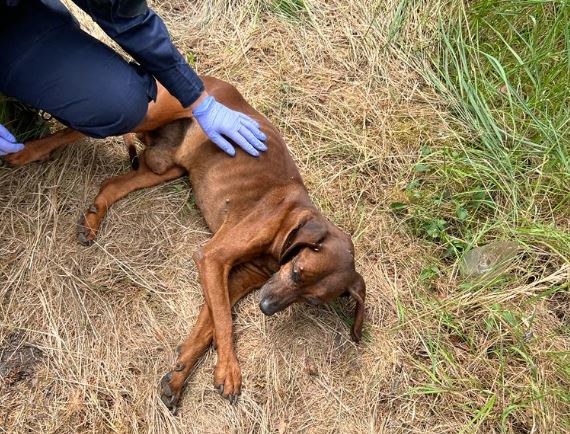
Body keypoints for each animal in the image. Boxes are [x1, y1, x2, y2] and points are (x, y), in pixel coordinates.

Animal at [5, 76, 364, 412]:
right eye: (299, 272)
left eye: (312, 301)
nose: (265, 308)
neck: (291, 222)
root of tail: (207, 80)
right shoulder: (213, 259)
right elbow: (224, 322)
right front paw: (229, 369)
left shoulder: (233, 278)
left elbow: (209, 325)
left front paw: (179, 375)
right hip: (147, 115)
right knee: (74, 129)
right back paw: (25, 151)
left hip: (163, 168)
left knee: (111, 183)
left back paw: (93, 218)